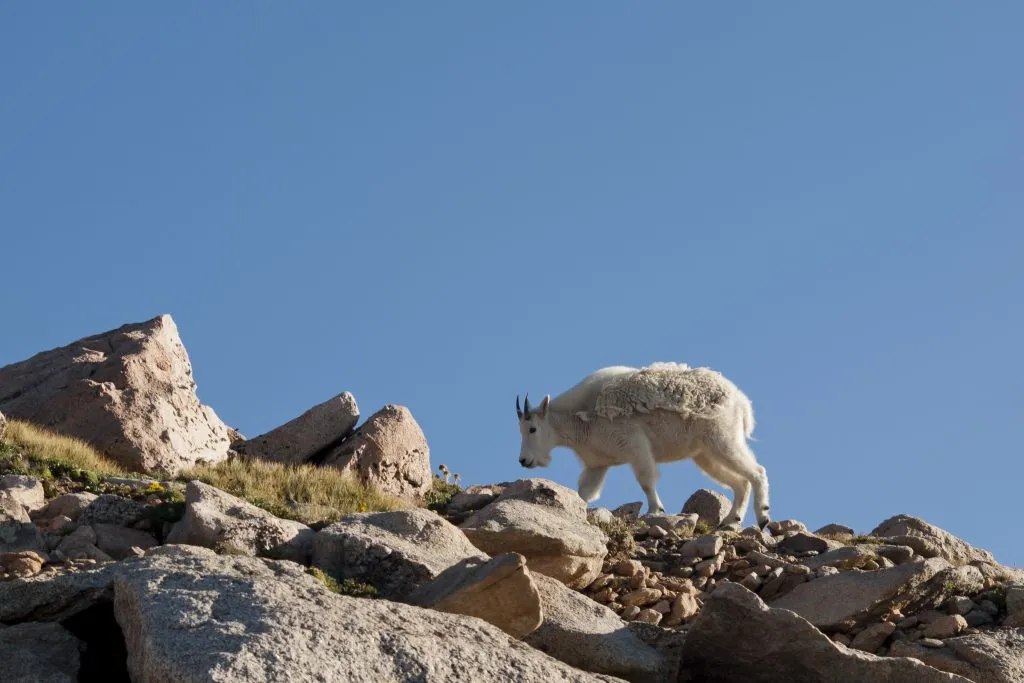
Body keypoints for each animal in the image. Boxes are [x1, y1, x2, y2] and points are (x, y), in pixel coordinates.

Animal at [516, 360, 770, 532]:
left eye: (532, 429)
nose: (524, 461)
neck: (580, 417)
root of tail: (741, 400)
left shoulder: (634, 444)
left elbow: (646, 480)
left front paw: (655, 510)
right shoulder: (597, 465)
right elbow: (584, 493)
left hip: (722, 438)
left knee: (757, 472)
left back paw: (763, 516)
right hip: (705, 454)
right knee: (740, 483)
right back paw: (731, 520)